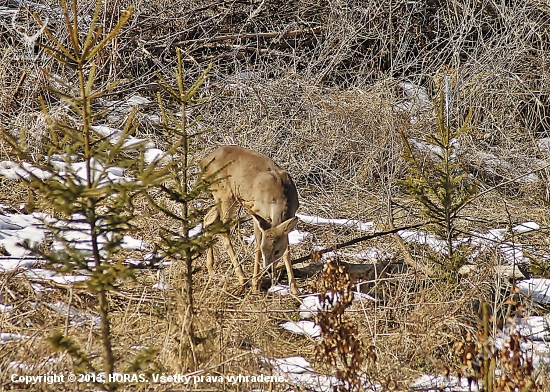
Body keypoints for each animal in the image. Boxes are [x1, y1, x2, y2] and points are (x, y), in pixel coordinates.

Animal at [202, 146, 300, 294]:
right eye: (265, 250)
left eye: (276, 251)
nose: (268, 269)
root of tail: (203, 162)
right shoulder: (258, 213)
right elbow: (257, 246)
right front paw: (255, 284)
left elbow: (287, 251)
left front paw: (294, 289)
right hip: (225, 194)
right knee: (223, 229)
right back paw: (242, 278)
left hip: (225, 198)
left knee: (208, 219)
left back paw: (211, 269)